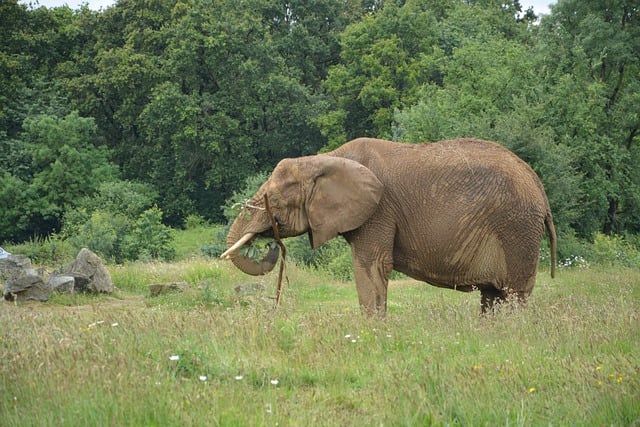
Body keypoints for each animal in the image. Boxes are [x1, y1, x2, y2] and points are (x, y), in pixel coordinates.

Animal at [221, 139, 556, 316]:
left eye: (275, 200)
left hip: (517, 230)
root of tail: (540, 189)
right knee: (492, 297)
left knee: (513, 294)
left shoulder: (379, 211)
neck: (324, 159)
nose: (269, 242)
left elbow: (372, 266)